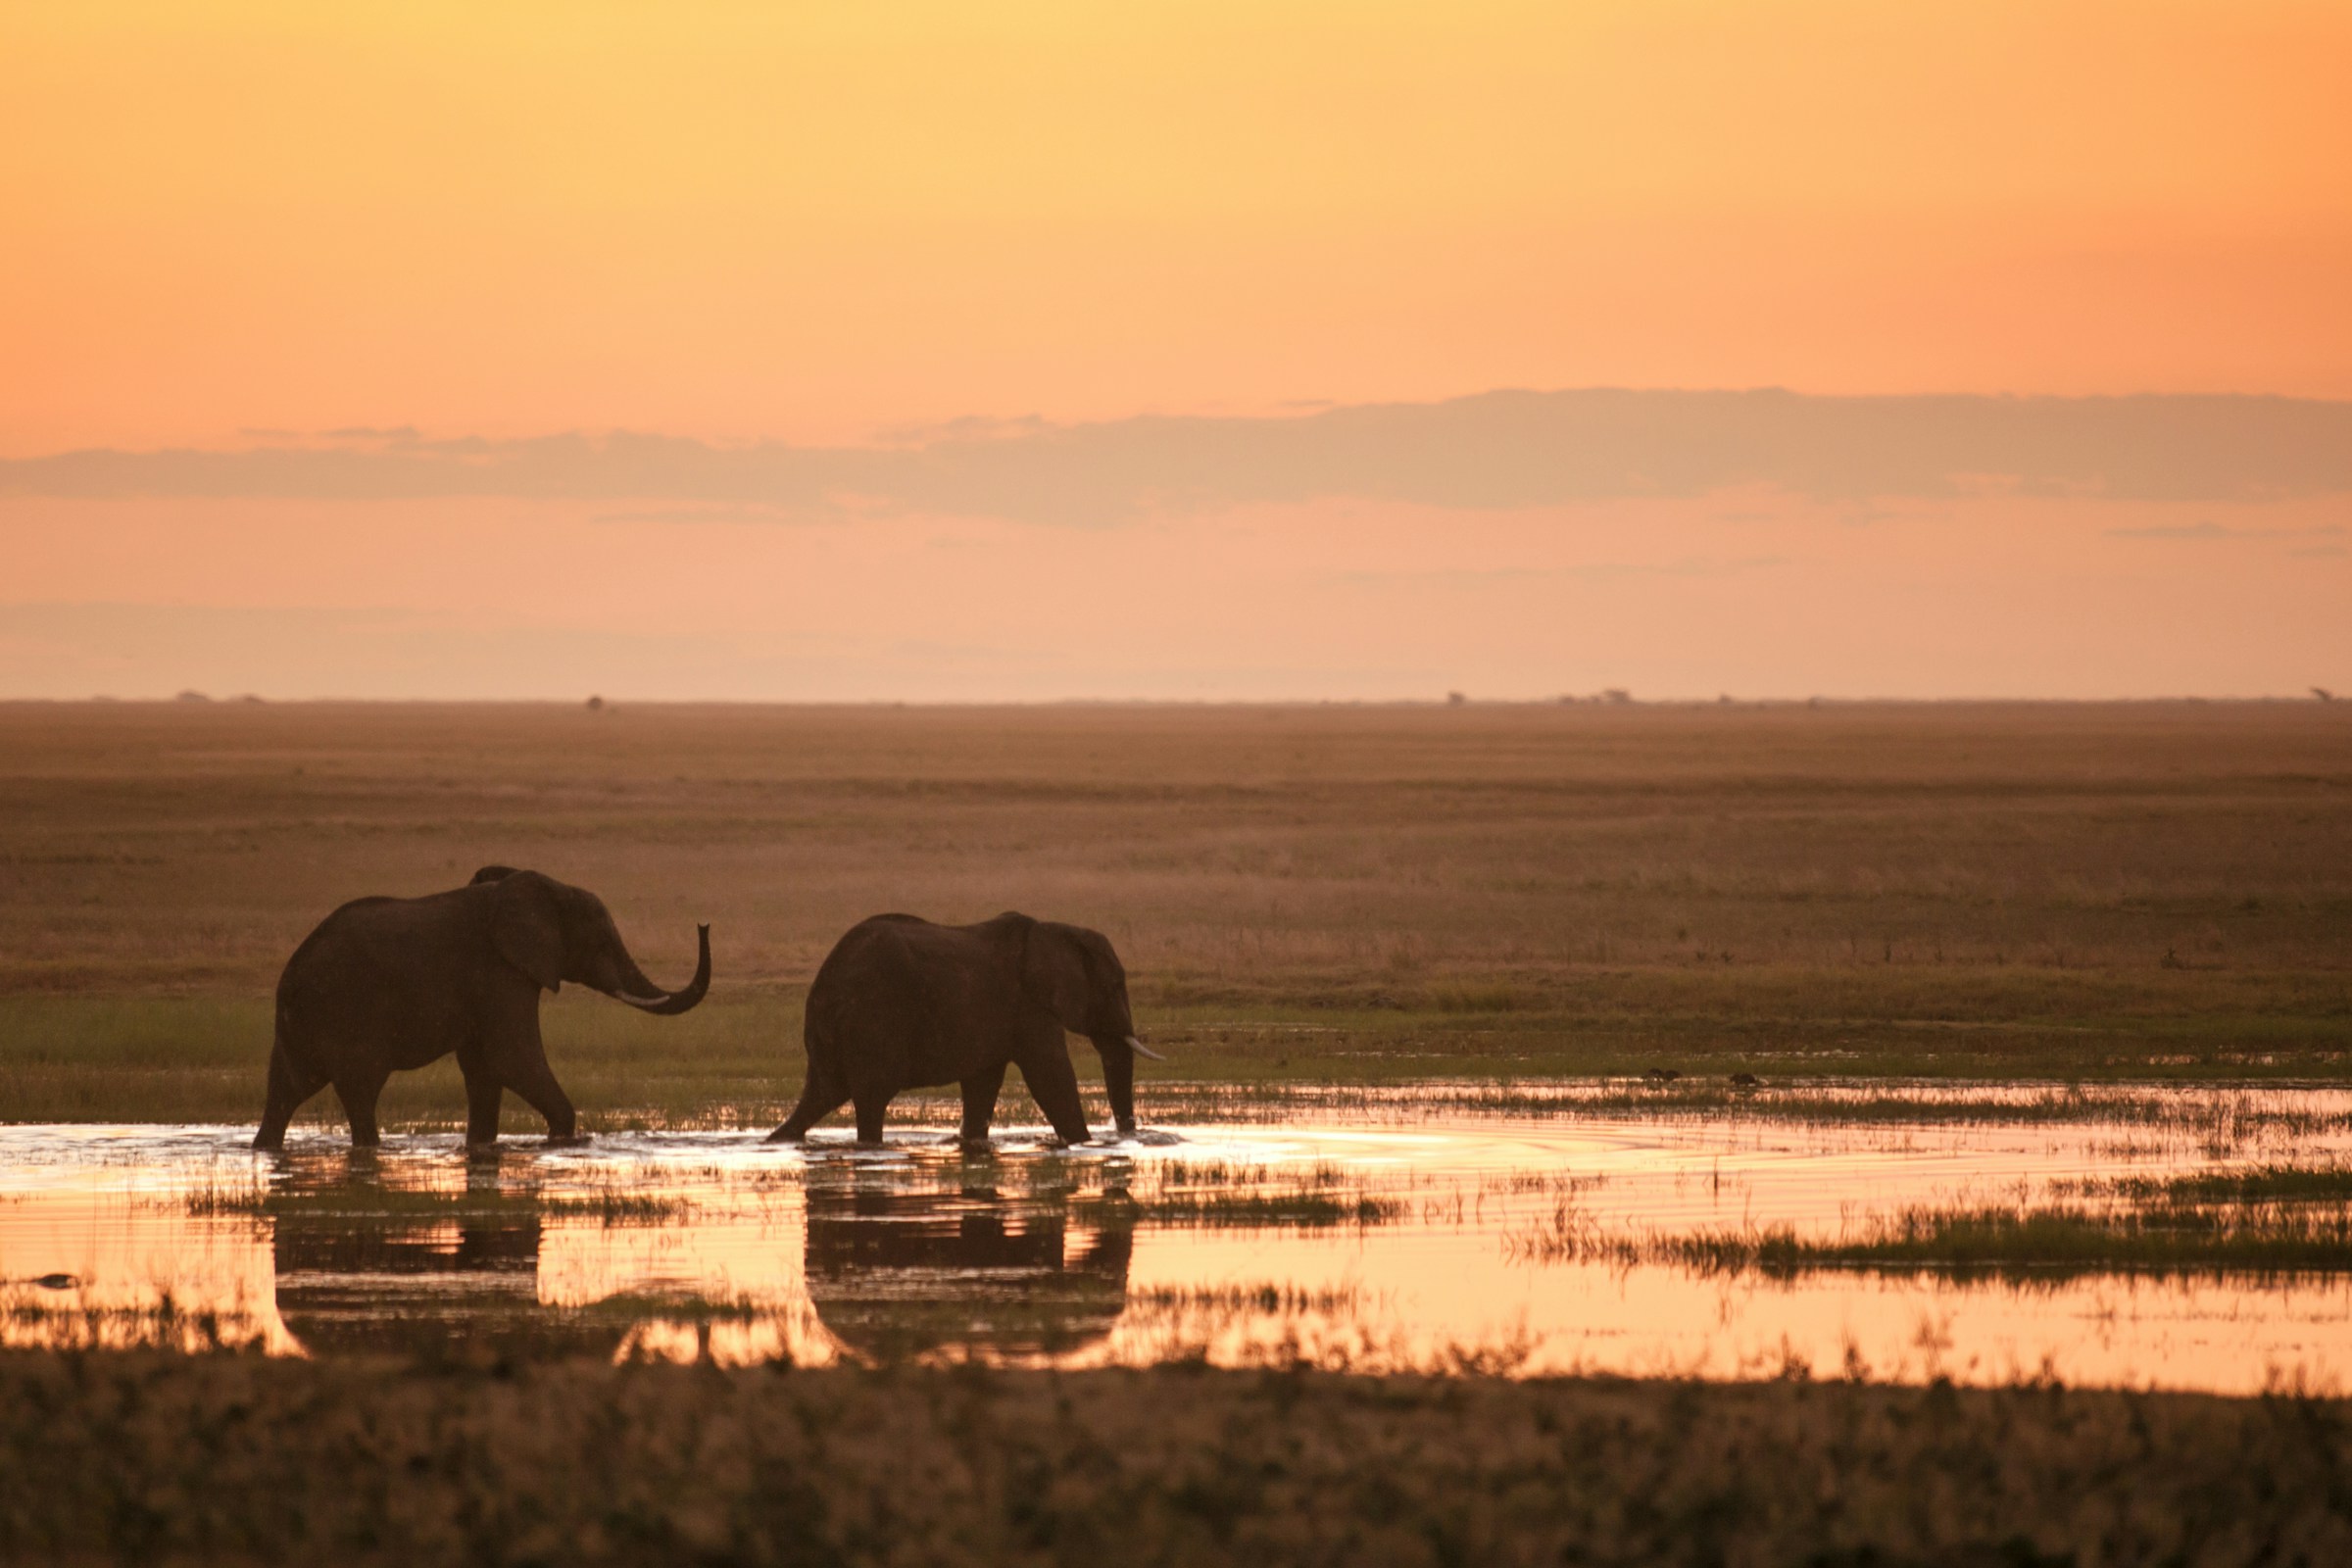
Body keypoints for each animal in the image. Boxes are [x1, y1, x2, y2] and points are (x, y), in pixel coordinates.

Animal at [253, 865, 710, 1151]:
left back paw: (264, 1149)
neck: (545, 887)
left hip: (301, 1020)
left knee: (285, 1090)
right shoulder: (500, 971)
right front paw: (565, 1140)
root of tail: (291, 972)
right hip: (344, 1013)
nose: (703, 925)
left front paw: (481, 1148)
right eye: (600, 941)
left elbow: (484, 1069)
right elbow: (513, 1058)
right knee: (361, 1090)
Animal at [769, 911, 1161, 1146]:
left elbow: (982, 1084)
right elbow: (1052, 1076)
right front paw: (1083, 1144)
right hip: (872, 1019)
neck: (1054, 929)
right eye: (1114, 985)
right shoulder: (1029, 1005)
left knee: (821, 1095)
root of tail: (825, 982)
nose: (1130, 1135)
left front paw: (971, 1145)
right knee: (870, 1099)